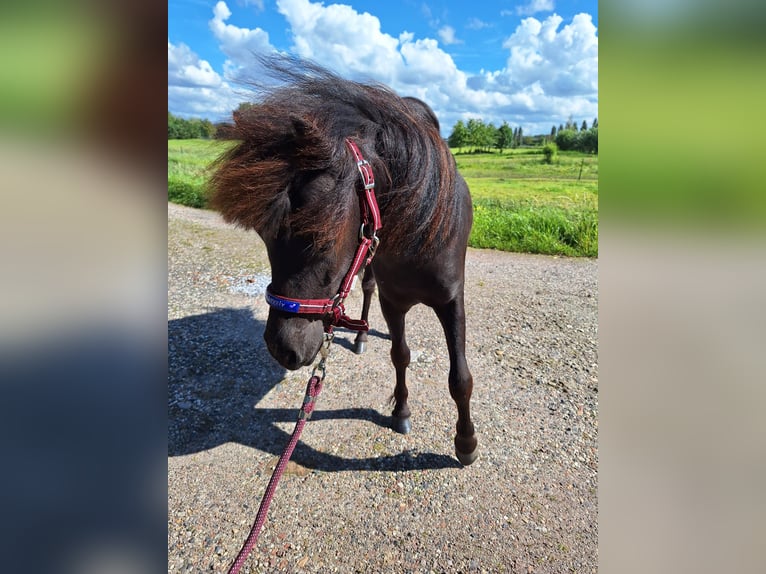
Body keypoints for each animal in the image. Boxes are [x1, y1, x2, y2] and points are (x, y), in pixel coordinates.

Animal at [213, 58, 476, 466]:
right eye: (264, 236)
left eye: (322, 234)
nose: (281, 348)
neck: (418, 234)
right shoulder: (392, 301)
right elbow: (400, 355)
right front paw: (401, 412)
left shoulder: (452, 300)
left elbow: (460, 377)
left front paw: (466, 443)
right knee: (366, 289)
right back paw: (361, 335)